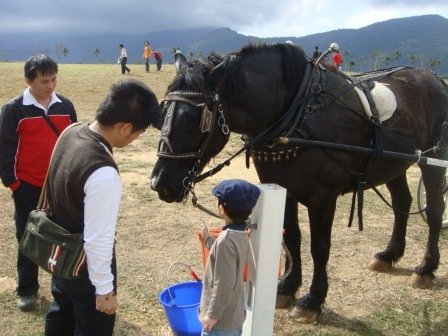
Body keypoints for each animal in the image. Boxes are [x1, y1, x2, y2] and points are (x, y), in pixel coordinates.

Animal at [150, 43, 448, 322]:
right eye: (163, 111)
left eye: (197, 117)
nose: (159, 182)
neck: (296, 113)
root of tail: (435, 79)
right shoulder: (284, 189)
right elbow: (291, 237)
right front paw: (287, 287)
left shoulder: (323, 198)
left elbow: (320, 247)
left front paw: (313, 300)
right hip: (392, 164)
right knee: (402, 203)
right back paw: (389, 255)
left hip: (433, 158)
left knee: (434, 211)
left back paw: (426, 268)